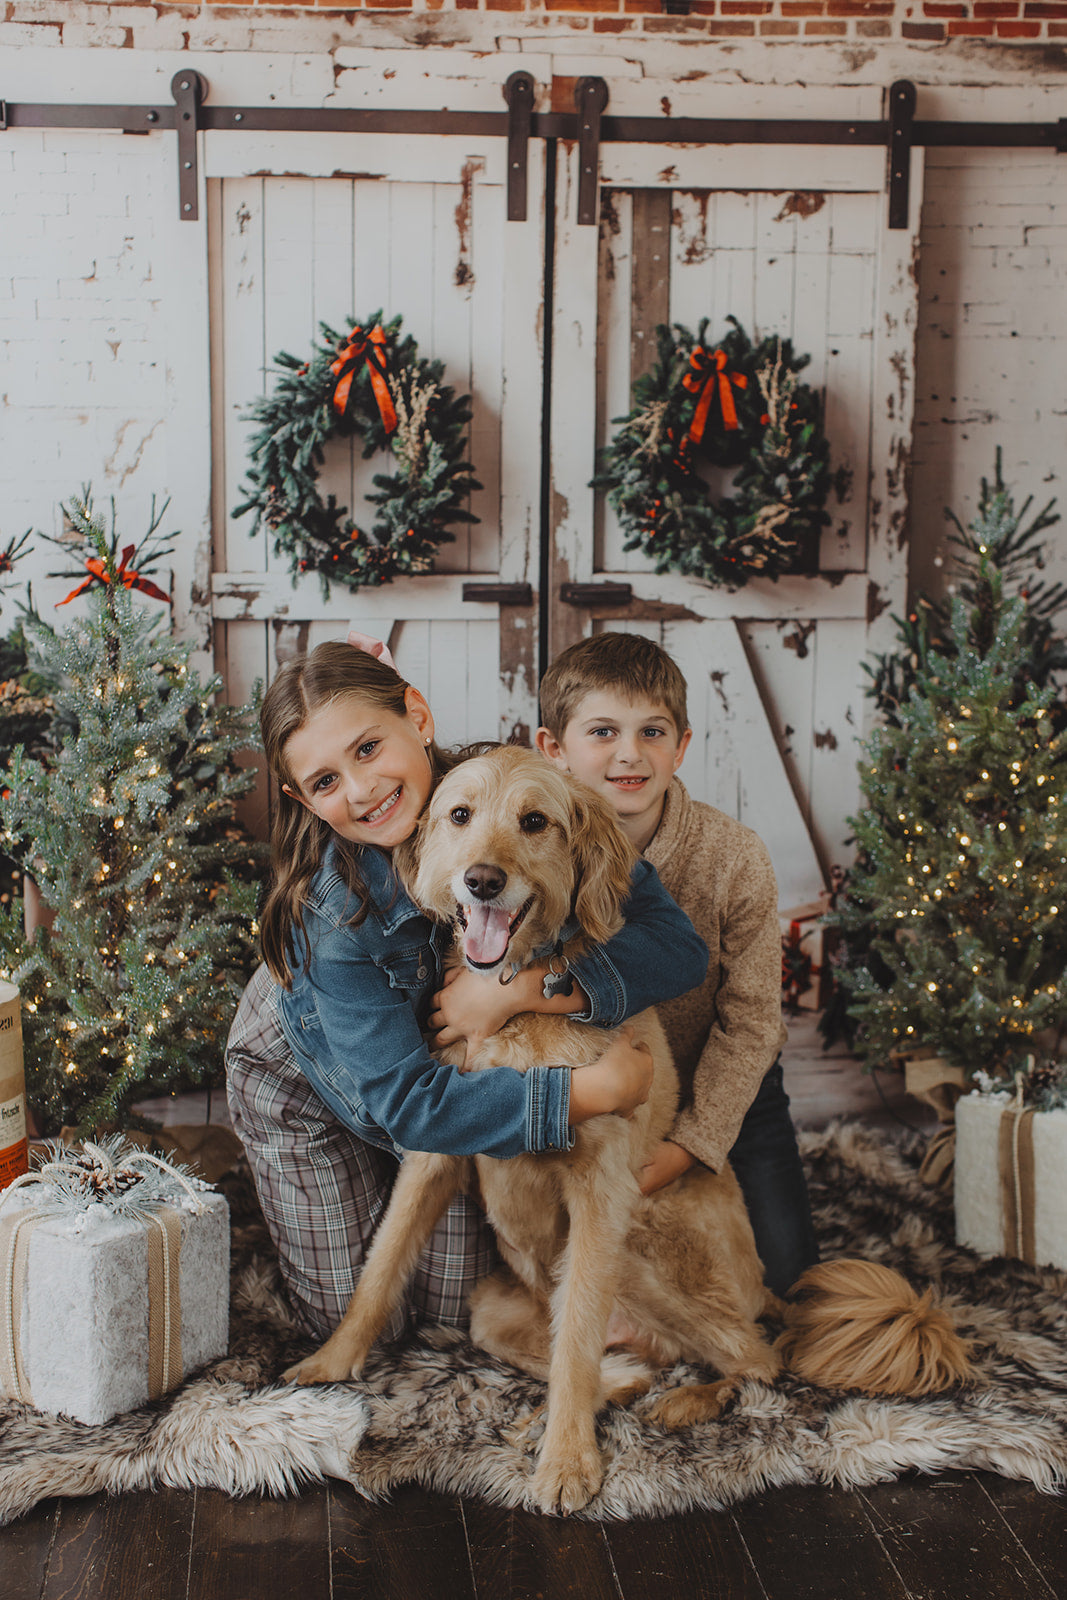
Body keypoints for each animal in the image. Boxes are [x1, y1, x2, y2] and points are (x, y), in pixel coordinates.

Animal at [287, 745, 972, 1510]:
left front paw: (566, 1461)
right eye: (458, 815)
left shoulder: (599, 1193)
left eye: (534, 821)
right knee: (622, 1359)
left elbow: (578, 1335)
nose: (481, 880)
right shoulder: (434, 1147)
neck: (517, 1008)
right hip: (491, 1306)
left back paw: (679, 1400)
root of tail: (765, 1288)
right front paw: (330, 1362)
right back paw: (593, 1396)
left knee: (757, 1357)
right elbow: (380, 1268)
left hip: (642, 1253)